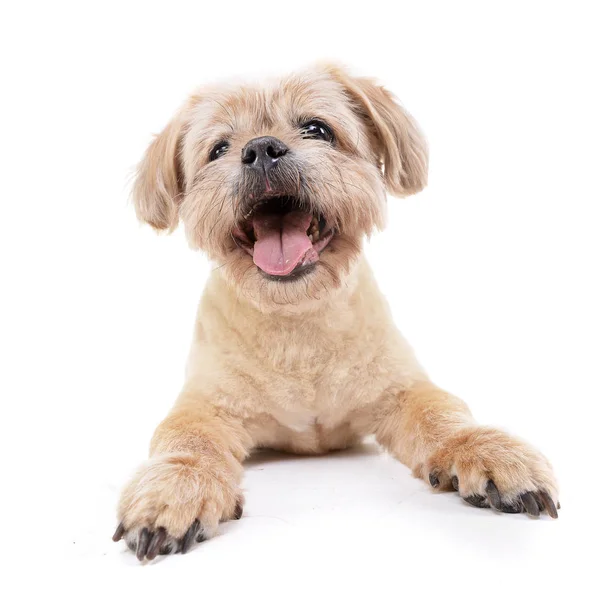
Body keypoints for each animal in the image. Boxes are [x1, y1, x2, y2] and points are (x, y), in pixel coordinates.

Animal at [115, 63, 560, 560]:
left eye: (317, 129)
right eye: (219, 149)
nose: (261, 149)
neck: (299, 324)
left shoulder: (402, 390)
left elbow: (441, 414)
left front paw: (484, 448)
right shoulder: (205, 405)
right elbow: (187, 439)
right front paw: (176, 486)